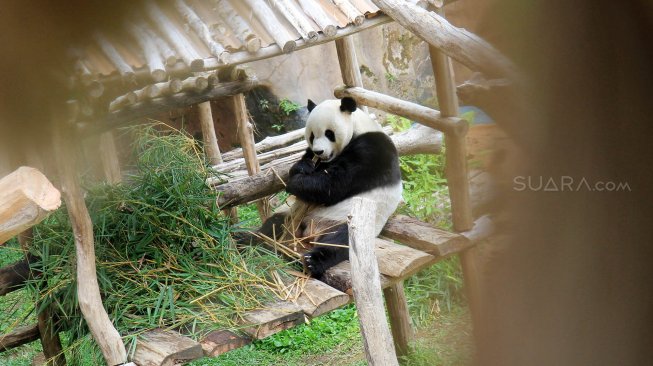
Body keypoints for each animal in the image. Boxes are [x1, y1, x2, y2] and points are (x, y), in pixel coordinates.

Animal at [260, 96, 402, 278]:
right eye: (312, 136)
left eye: (329, 133)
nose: (319, 151)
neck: (359, 127)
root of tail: (310, 234)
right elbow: (307, 166)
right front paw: (302, 167)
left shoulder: (372, 152)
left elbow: (333, 185)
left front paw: (294, 184)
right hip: (296, 218)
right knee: (274, 225)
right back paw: (249, 239)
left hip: (353, 224)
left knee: (340, 242)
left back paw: (313, 261)